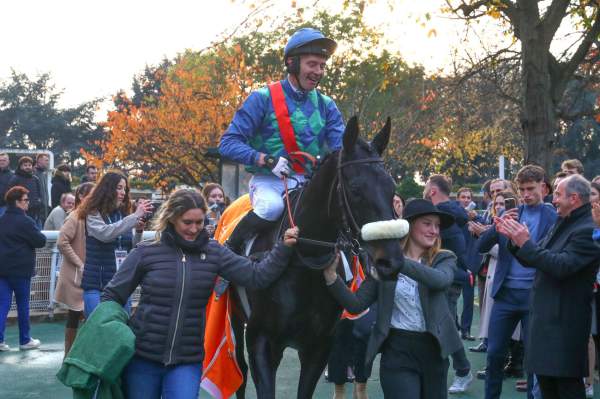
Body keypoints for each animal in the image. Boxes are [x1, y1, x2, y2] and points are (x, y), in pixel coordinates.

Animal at [232, 117, 400, 398]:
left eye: (392, 187)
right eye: (355, 188)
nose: (391, 261)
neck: (302, 264)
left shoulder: (319, 347)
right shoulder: (259, 340)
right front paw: (276, 163)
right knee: (240, 372)